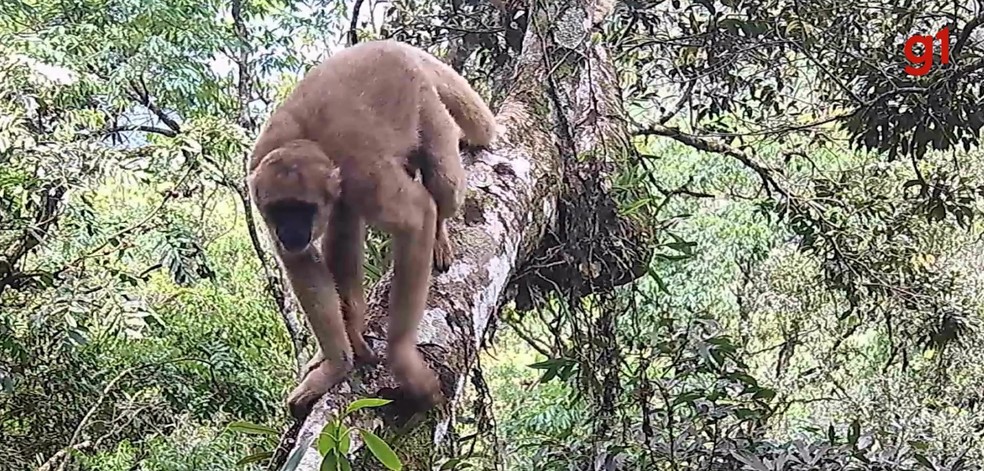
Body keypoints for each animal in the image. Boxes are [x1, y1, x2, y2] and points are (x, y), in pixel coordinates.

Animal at [243, 38, 496, 418]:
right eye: (280, 211)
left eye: (302, 210)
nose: (291, 231)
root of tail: (395, 46)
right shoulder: (259, 180)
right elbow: (301, 261)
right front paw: (337, 364)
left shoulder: (363, 176)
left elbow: (418, 215)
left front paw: (402, 360)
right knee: (343, 227)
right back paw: (351, 326)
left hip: (426, 103)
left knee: (444, 183)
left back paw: (439, 233)